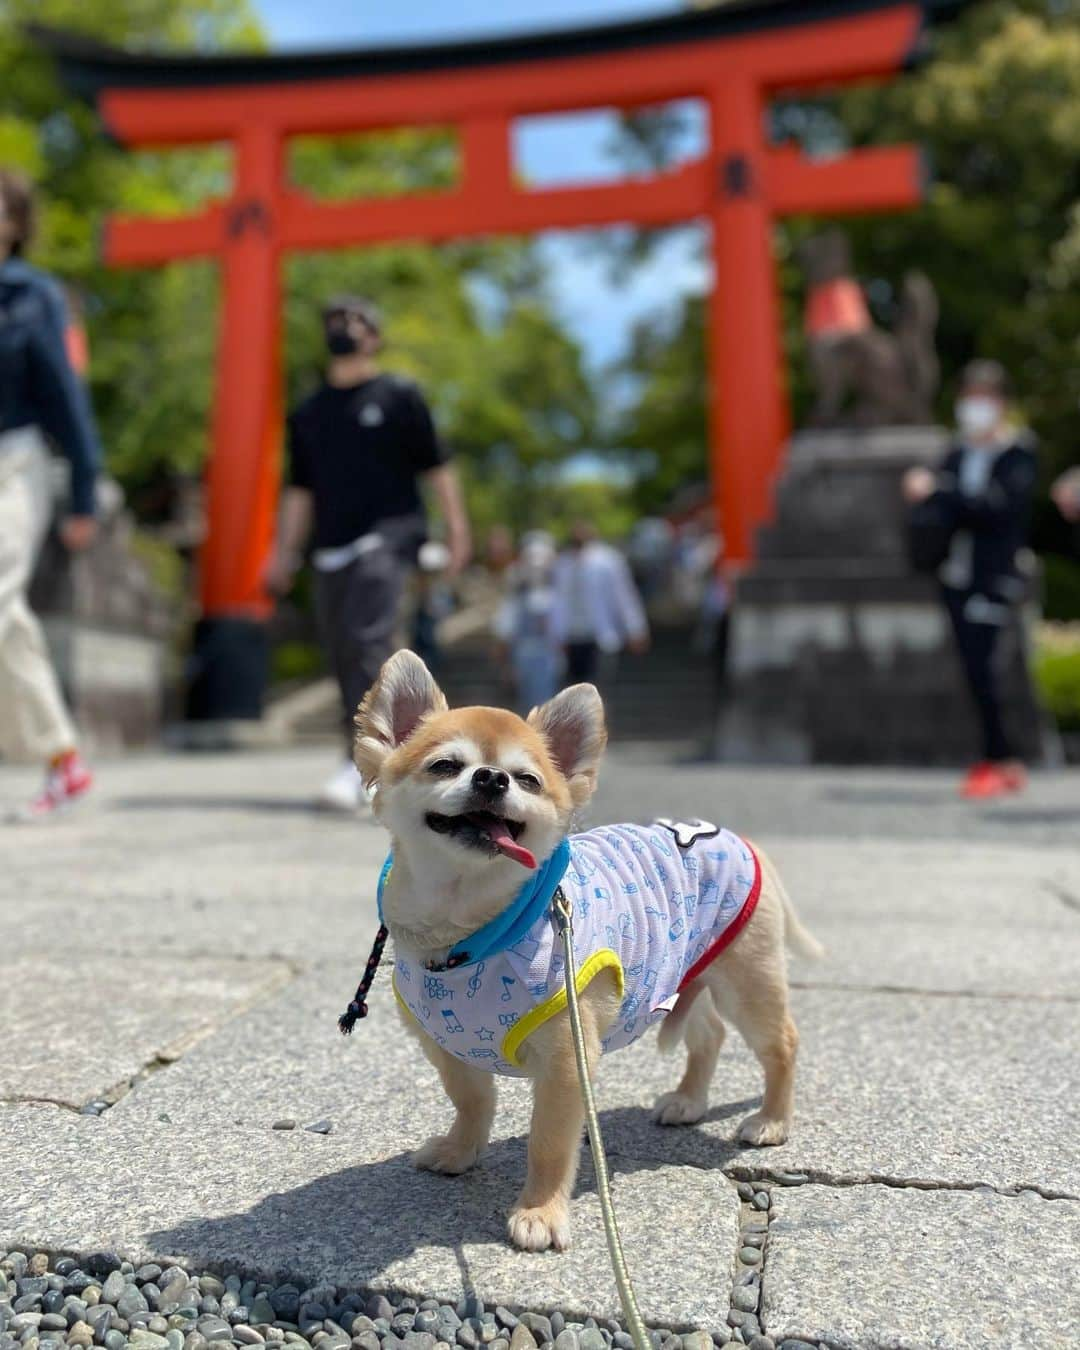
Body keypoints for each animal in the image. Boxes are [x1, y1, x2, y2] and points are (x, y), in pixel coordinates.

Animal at [353, 648, 820, 1247]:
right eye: (444, 766)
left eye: (527, 780)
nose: (492, 778)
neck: (472, 935)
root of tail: (741, 838)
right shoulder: (446, 1046)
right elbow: (472, 1100)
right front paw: (460, 1151)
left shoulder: (566, 1061)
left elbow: (549, 1143)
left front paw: (540, 1213)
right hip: (680, 975)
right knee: (710, 1035)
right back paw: (689, 1100)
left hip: (746, 982)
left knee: (780, 1042)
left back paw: (772, 1121)